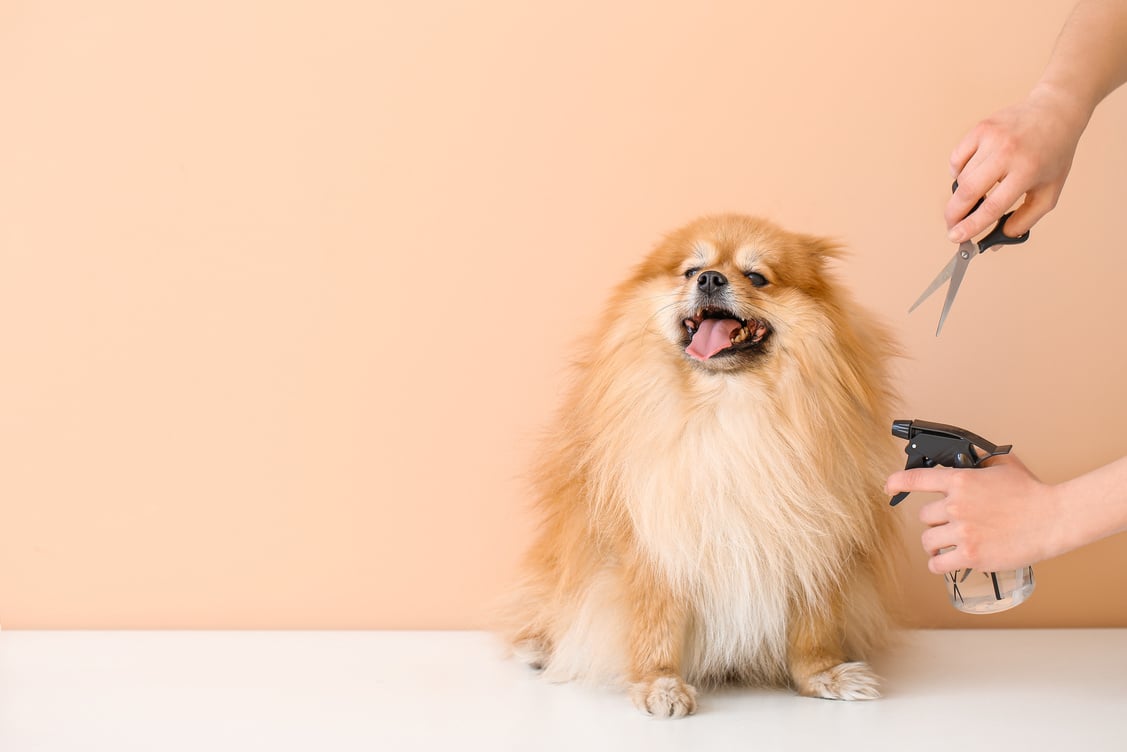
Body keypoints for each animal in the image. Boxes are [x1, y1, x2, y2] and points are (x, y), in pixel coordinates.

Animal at [502, 213, 897, 717]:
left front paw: (823, 674)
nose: (710, 279)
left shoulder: (814, 540)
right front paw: (660, 684)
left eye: (756, 277)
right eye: (691, 270)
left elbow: (814, 626)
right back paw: (538, 648)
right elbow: (656, 624)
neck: (727, 405)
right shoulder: (656, 543)